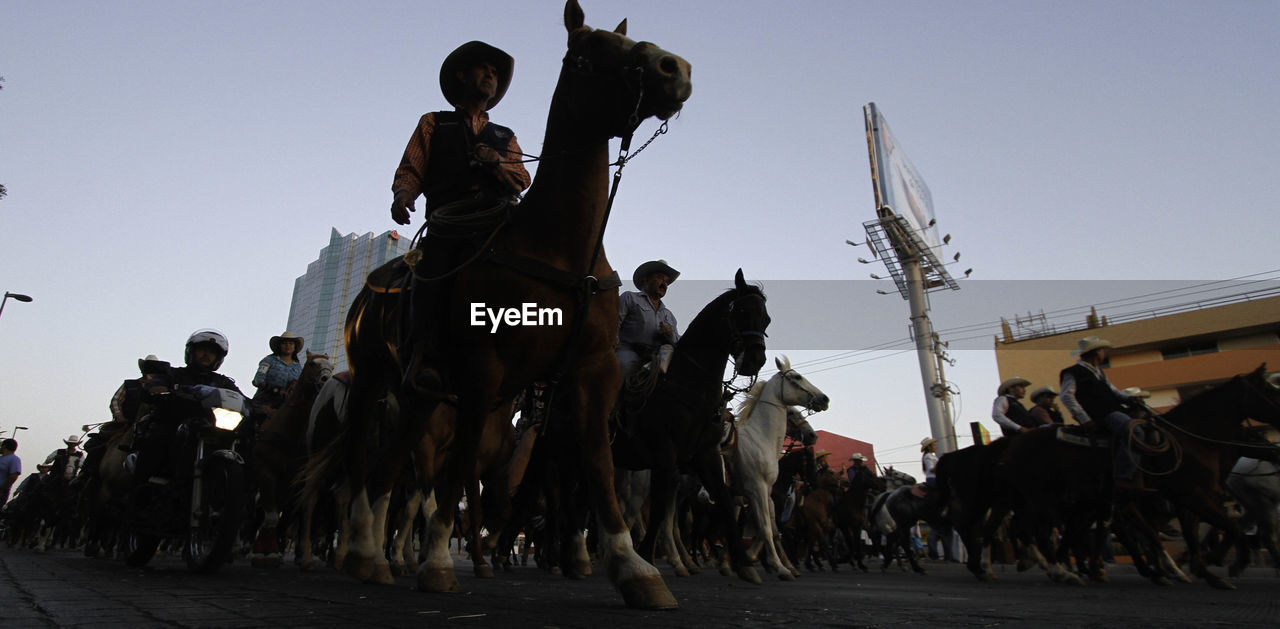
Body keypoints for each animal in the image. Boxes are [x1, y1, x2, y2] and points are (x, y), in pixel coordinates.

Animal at [300, 0, 691, 609]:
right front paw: (439, 562)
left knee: (394, 463)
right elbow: (459, 471)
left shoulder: (592, 373)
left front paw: (635, 568)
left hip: (419, 393)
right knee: (363, 461)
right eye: (586, 54)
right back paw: (364, 549)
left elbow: (598, 467)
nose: (674, 69)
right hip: (369, 379)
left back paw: (371, 557)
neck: (558, 248)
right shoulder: (486, 371)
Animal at [732, 356, 829, 584]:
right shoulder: (756, 487)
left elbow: (769, 525)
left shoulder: (764, 491)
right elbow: (767, 527)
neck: (760, 438)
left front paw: (752, 557)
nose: (824, 399)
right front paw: (780, 567)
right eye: (797, 377)